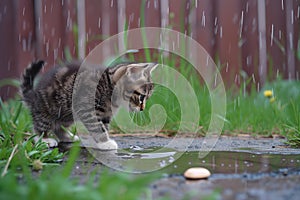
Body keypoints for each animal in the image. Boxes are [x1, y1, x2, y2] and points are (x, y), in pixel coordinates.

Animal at [20, 60, 157, 149]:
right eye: (141, 97)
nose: (142, 108)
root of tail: (33, 95)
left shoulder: (105, 114)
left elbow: (103, 126)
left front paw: (101, 142)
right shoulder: (86, 108)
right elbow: (96, 126)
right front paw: (105, 143)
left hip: (67, 114)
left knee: (58, 126)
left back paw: (67, 136)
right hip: (48, 109)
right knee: (39, 126)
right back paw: (44, 139)